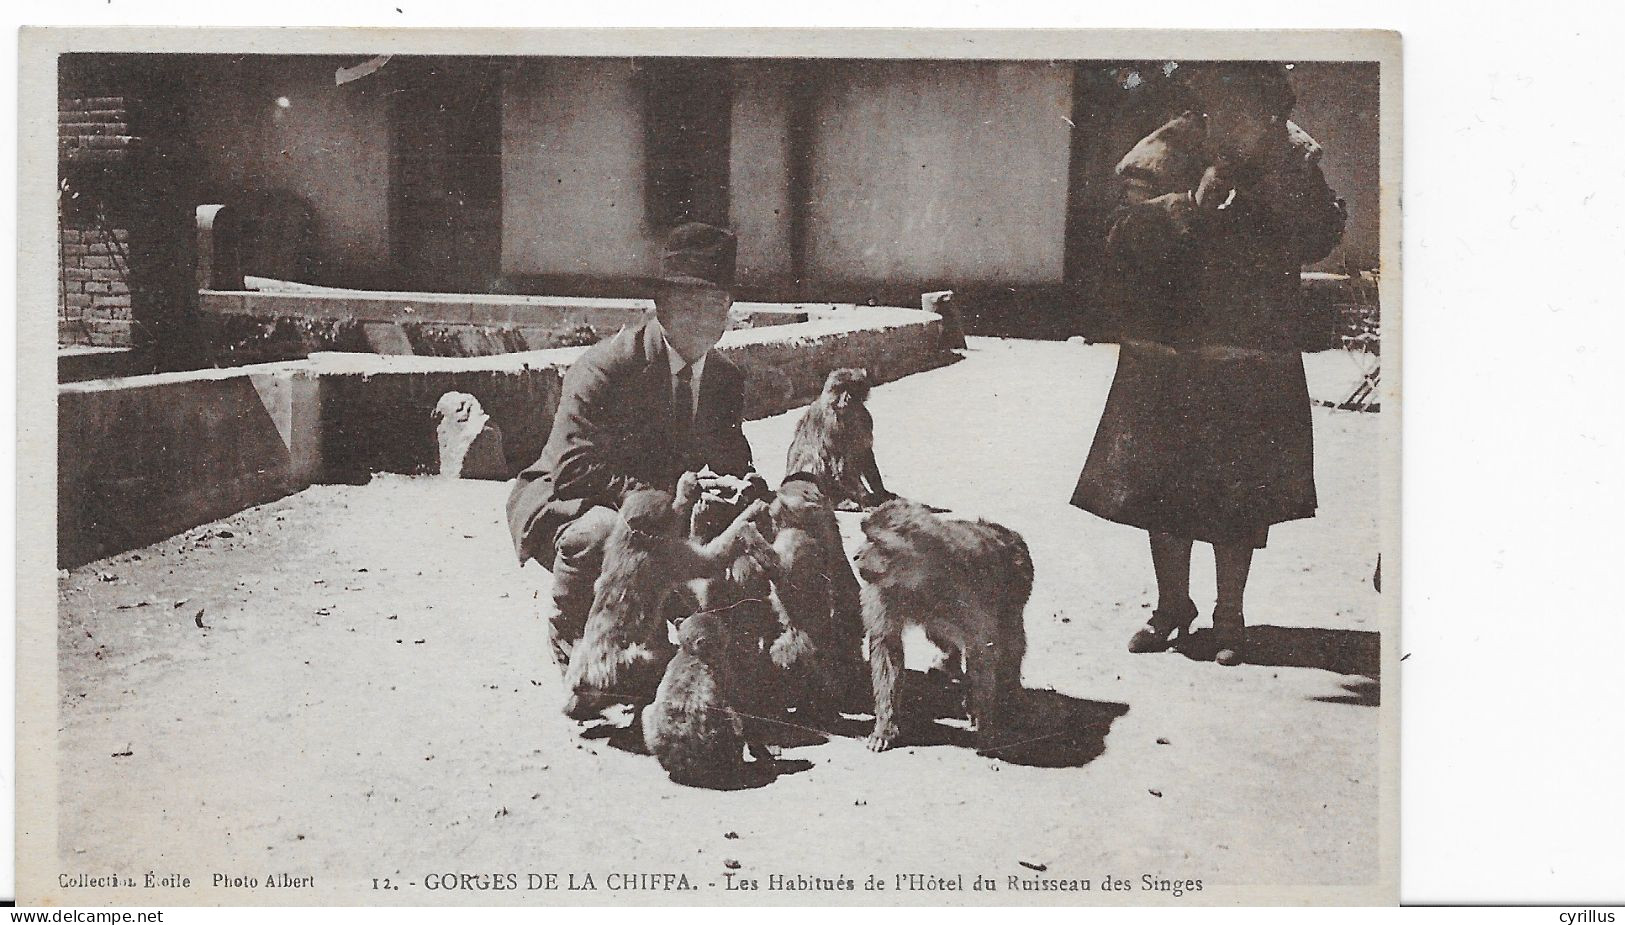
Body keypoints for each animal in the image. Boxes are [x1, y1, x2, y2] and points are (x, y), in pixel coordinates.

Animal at [559, 471, 773, 718]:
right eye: (664, 507)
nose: (669, 494)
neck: (631, 540)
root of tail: (583, 676)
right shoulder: (668, 554)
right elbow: (710, 560)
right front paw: (691, 500)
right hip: (622, 668)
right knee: (651, 661)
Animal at [783, 367, 890, 513]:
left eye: (852, 388)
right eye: (840, 388)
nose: (846, 398)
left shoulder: (864, 418)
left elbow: (864, 453)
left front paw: (881, 493)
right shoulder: (831, 424)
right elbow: (839, 465)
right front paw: (867, 501)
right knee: (814, 458)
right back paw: (840, 502)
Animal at [851, 497, 1027, 751]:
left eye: (873, 540)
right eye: (865, 536)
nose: (856, 554)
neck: (919, 574)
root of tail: (1004, 531)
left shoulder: (966, 588)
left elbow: (982, 649)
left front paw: (985, 723)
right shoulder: (882, 591)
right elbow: (887, 645)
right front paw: (885, 727)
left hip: (1018, 583)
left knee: (1010, 638)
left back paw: (1008, 691)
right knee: (939, 630)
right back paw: (948, 662)